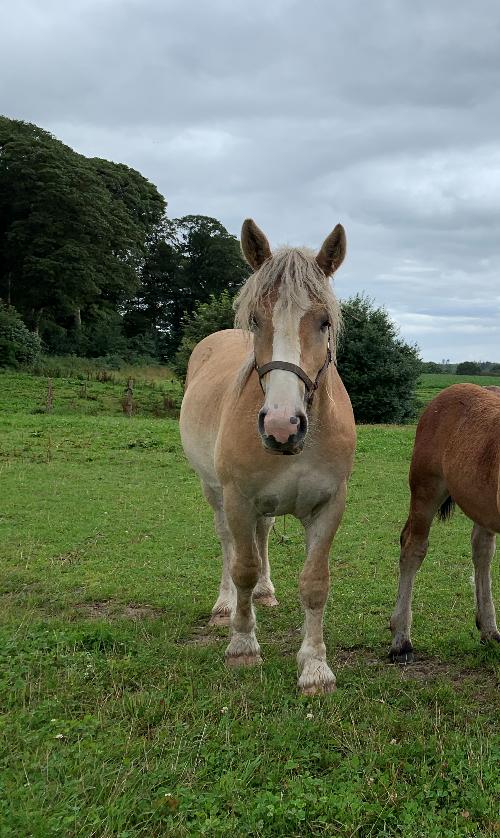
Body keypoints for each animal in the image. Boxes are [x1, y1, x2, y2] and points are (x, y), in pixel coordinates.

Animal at [180, 218, 356, 696]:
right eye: (256, 320)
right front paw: (243, 646)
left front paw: (315, 667)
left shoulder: (329, 506)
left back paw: (265, 591)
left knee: (261, 538)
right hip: (215, 492)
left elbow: (315, 583)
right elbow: (241, 566)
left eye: (324, 321)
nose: (282, 425)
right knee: (229, 544)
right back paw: (226, 606)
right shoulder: (239, 499)